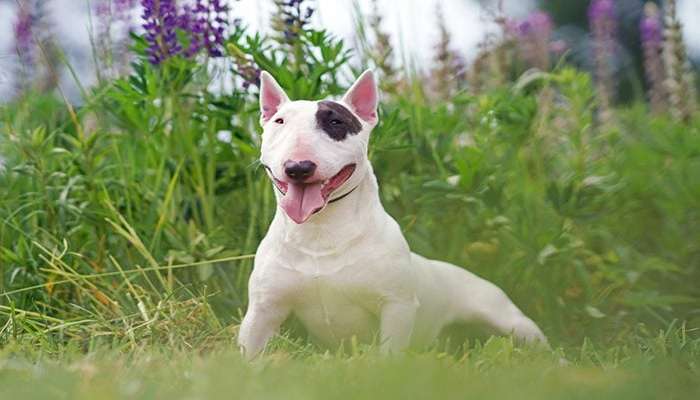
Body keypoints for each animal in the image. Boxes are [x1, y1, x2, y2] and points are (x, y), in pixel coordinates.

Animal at [235, 69, 548, 360]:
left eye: (336, 122)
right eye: (279, 122)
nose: (298, 167)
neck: (320, 230)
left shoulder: (396, 306)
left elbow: (389, 354)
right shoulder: (263, 310)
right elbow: (247, 351)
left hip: (509, 319)